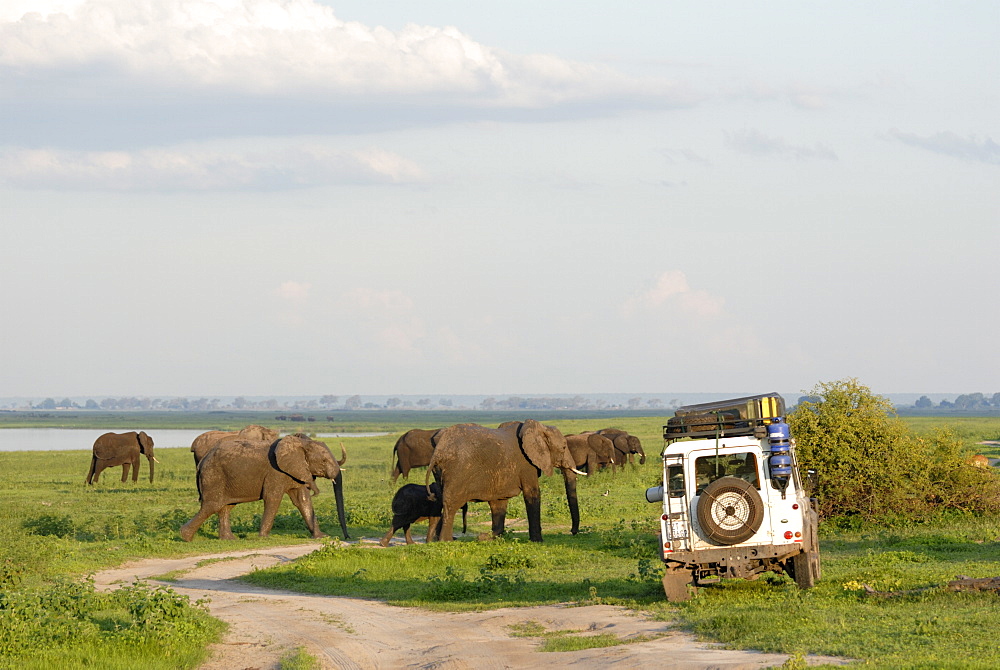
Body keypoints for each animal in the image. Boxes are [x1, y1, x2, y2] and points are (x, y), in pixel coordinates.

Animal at [179, 438, 348, 544]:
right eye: (324, 461)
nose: (347, 537)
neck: (301, 443)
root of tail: (202, 462)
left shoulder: (296, 471)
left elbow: (303, 501)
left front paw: (321, 537)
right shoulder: (276, 472)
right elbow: (273, 498)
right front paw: (264, 538)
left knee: (225, 507)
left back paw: (229, 539)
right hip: (213, 476)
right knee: (212, 505)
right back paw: (185, 537)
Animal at [424, 422, 584, 544]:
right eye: (564, 447)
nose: (573, 532)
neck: (537, 427)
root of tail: (439, 451)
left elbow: (499, 502)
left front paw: (493, 538)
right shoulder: (527, 464)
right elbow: (532, 494)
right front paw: (538, 541)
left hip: (440, 472)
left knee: (441, 501)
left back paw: (435, 541)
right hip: (456, 471)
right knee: (450, 504)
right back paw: (446, 541)